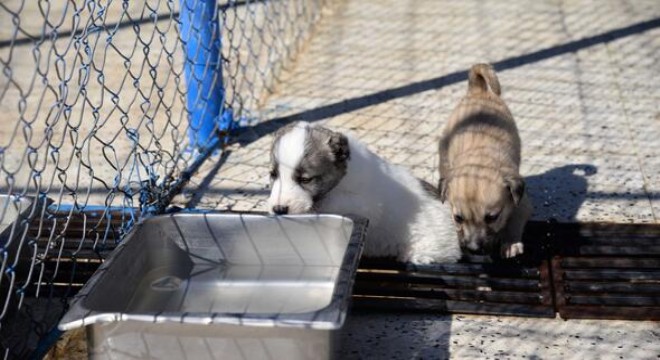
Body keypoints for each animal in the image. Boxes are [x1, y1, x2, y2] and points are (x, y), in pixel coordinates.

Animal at [438, 63, 532, 258]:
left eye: (492, 218)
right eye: (458, 218)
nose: (473, 249)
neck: (480, 159)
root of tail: (477, 90)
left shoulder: (522, 203)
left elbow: (514, 221)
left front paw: (510, 243)